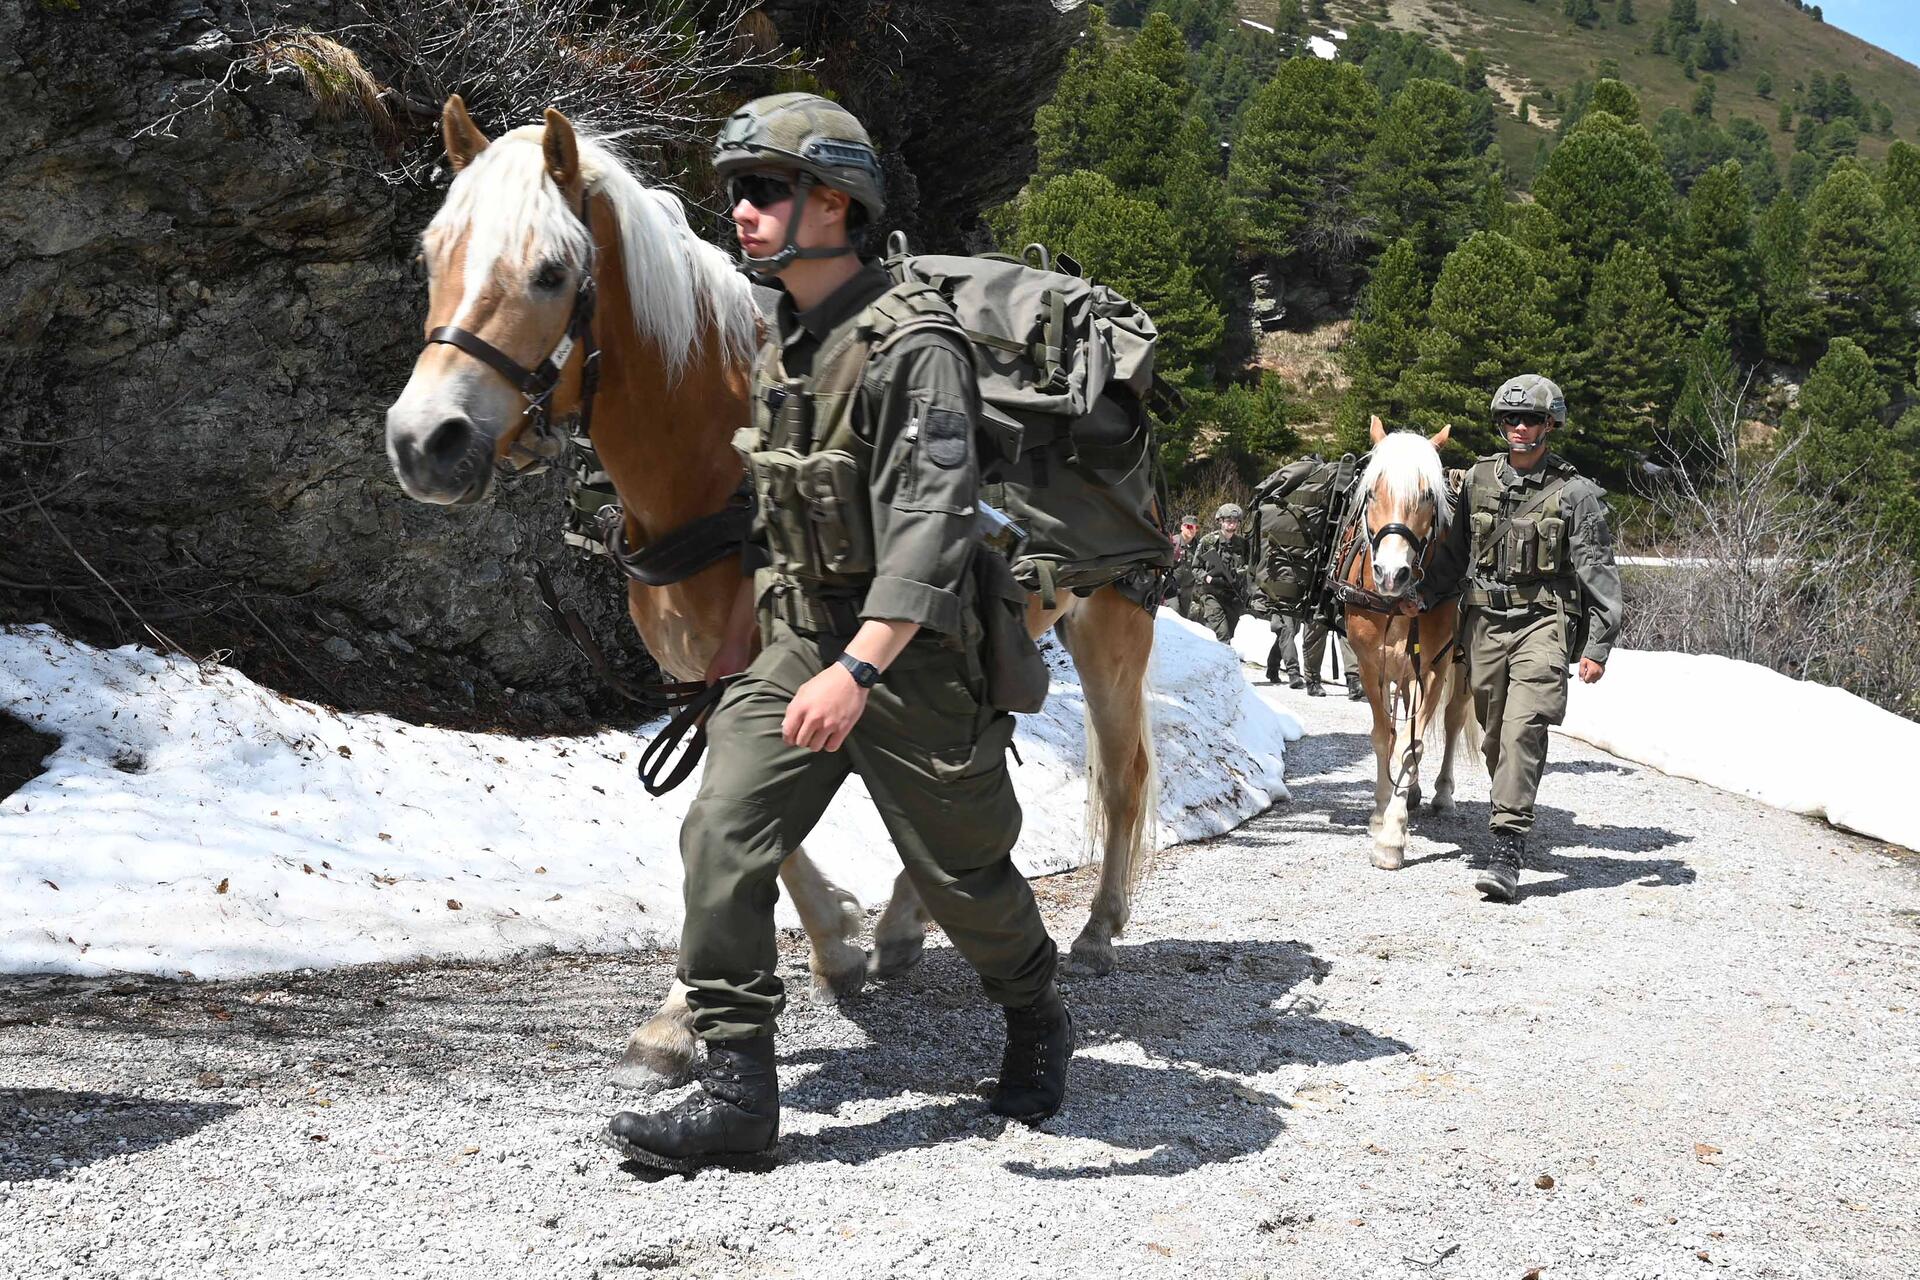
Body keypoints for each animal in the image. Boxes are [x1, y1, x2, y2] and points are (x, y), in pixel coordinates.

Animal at [1335, 416, 1477, 871]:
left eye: (1427, 495)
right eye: (1372, 490)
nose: (1391, 572)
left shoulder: (1432, 667)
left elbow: (1413, 744)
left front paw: (1393, 837)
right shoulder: (1371, 665)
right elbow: (1385, 736)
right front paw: (1382, 812)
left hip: (1459, 665)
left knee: (1452, 719)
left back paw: (1440, 794)